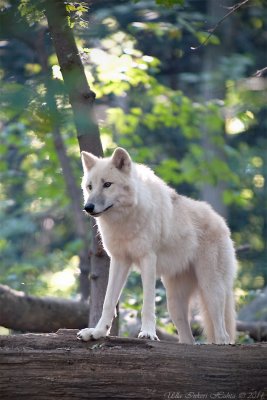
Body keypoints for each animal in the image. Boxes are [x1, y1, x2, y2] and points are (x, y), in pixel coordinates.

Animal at [77, 147, 237, 344]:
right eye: (90, 187)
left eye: (107, 184)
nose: (88, 207)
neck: (125, 221)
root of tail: (221, 222)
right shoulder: (119, 260)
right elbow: (108, 302)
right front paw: (97, 332)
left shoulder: (148, 258)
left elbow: (148, 303)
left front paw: (148, 333)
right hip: (174, 304)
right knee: (188, 339)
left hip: (211, 290)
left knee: (223, 333)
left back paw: (221, 343)